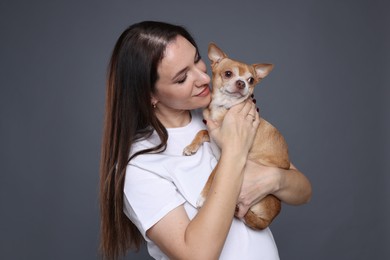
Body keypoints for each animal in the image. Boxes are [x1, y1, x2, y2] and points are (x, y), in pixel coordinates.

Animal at [183, 43, 290, 230]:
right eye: (228, 74)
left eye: (251, 80)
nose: (241, 83)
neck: (224, 107)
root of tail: (267, 220)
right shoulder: (212, 133)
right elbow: (201, 131)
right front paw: (191, 147)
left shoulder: (226, 156)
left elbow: (213, 175)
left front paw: (203, 197)